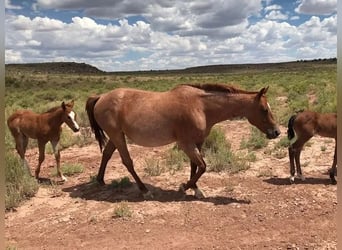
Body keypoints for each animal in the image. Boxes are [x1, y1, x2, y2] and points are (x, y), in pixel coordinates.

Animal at [85, 85, 280, 198]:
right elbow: (203, 166)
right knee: (127, 161)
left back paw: (100, 180)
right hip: (117, 136)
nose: (276, 132)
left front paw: (195, 188)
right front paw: (184, 187)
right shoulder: (186, 144)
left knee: (106, 154)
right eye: (264, 109)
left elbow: (195, 166)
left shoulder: (197, 142)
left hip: (116, 136)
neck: (201, 107)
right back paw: (144, 190)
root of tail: (100, 97)